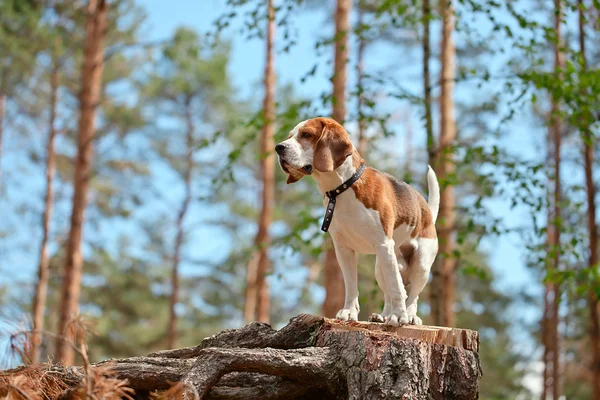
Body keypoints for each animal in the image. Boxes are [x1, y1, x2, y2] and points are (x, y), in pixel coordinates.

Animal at [276, 115, 440, 324]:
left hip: (420, 263)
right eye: (290, 136)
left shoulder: (383, 244)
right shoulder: (343, 249)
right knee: (392, 291)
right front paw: (349, 312)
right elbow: (351, 285)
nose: (278, 147)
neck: (341, 189)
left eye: (306, 135)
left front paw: (399, 316)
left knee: (411, 296)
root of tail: (427, 212)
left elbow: (396, 288)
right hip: (382, 264)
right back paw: (383, 316)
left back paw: (409, 316)